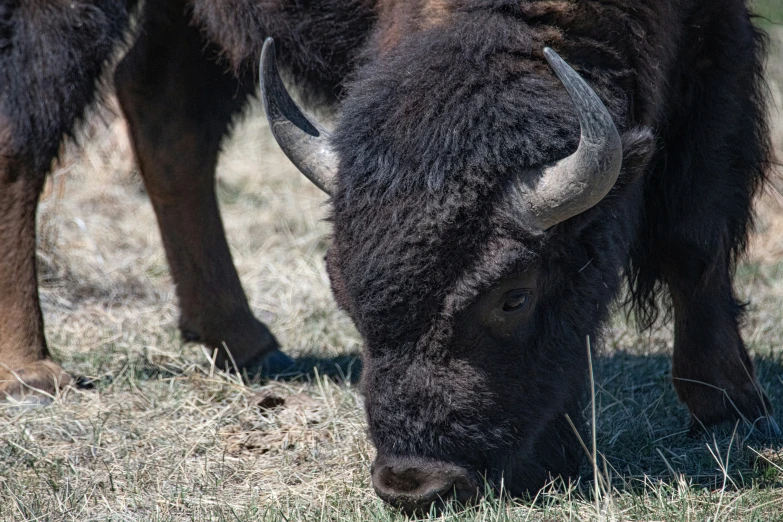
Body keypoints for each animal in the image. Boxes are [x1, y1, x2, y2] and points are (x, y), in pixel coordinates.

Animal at [0, 0, 776, 512]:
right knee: (22, 138)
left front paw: (729, 406)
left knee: (164, 110)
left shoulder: (715, 43)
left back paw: (244, 340)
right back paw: (33, 372)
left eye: (514, 295)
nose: (415, 482)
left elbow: (694, 235)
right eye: (341, 291)